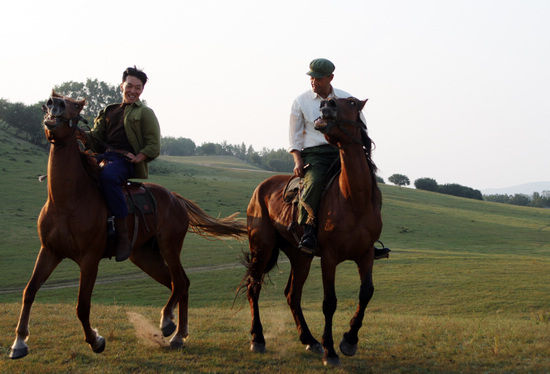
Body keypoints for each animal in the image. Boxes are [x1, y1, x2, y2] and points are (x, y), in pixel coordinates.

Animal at [8, 93, 246, 360]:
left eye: (76, 105)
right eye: (51, 101)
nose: (53, 103)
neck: (67, 201)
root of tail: (175, 198)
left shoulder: (89, 260)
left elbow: (82, 306)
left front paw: (95, 340)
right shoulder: (49, 252)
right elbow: (29, 291)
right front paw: (19, 343)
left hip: (169, 247)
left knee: (181, 282)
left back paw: (171, 326)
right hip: (143, 256)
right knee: (175, 283)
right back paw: (176, 330)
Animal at [246, 96, 384, 366]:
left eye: (351, 101)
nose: (326, 103)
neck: (354, 199)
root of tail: (260, 189)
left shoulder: (366, 255)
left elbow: (366, 293)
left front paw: (349, 340)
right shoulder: (329, 258)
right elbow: (329, 302)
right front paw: (331, 351)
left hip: (301, 256)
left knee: (292, 294)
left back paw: (309, 340)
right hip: (262, 248)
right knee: (254, 288)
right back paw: (258, 339)